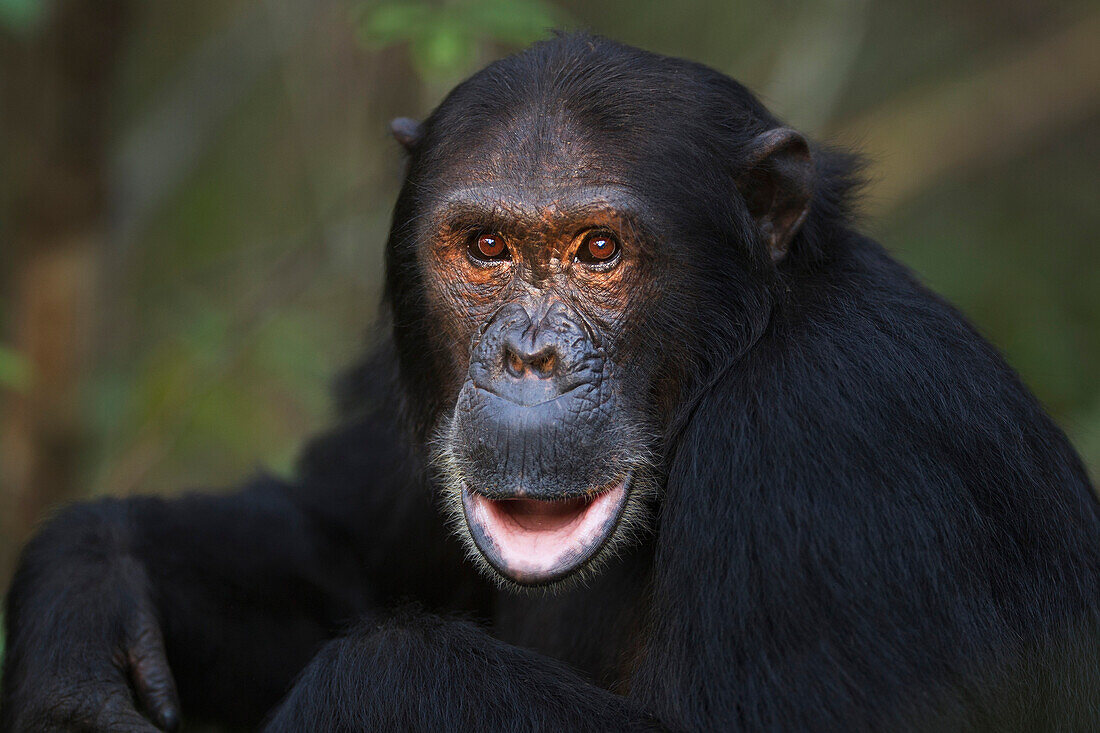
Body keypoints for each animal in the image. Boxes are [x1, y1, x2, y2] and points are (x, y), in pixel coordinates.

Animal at [2, 34, 1100, 730]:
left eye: (598, 250)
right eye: (486, 248)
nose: (528, 355)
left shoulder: (833, 438)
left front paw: (374, 677)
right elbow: (342, 549)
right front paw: (82, 596)